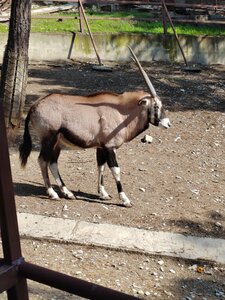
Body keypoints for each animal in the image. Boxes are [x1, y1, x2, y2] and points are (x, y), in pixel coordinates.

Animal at [19, 48, 171, 209]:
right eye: (156, 106)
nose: (168, 124)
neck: (121, 111)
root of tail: (34, 106)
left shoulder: (101, 147)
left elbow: (101, 167)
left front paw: (103, 193)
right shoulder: (110, 147)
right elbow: (116, 170)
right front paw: (125, 199)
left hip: (57, 144)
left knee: (53, 163)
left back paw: (67, 192)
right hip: (49, 139)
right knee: (43, 160)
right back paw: (52, 193)